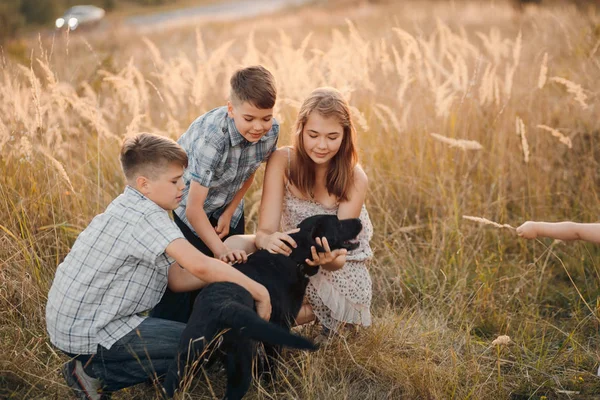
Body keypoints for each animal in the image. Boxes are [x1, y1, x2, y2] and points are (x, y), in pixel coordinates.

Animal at [162, 216, 364, 400]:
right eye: (337, 222)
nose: (360, 221)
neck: (292, 257)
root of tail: (223, 308)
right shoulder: (279, 329)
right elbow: (271, 367)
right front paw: (274, 388)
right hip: (240, 364)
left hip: (184, 362)